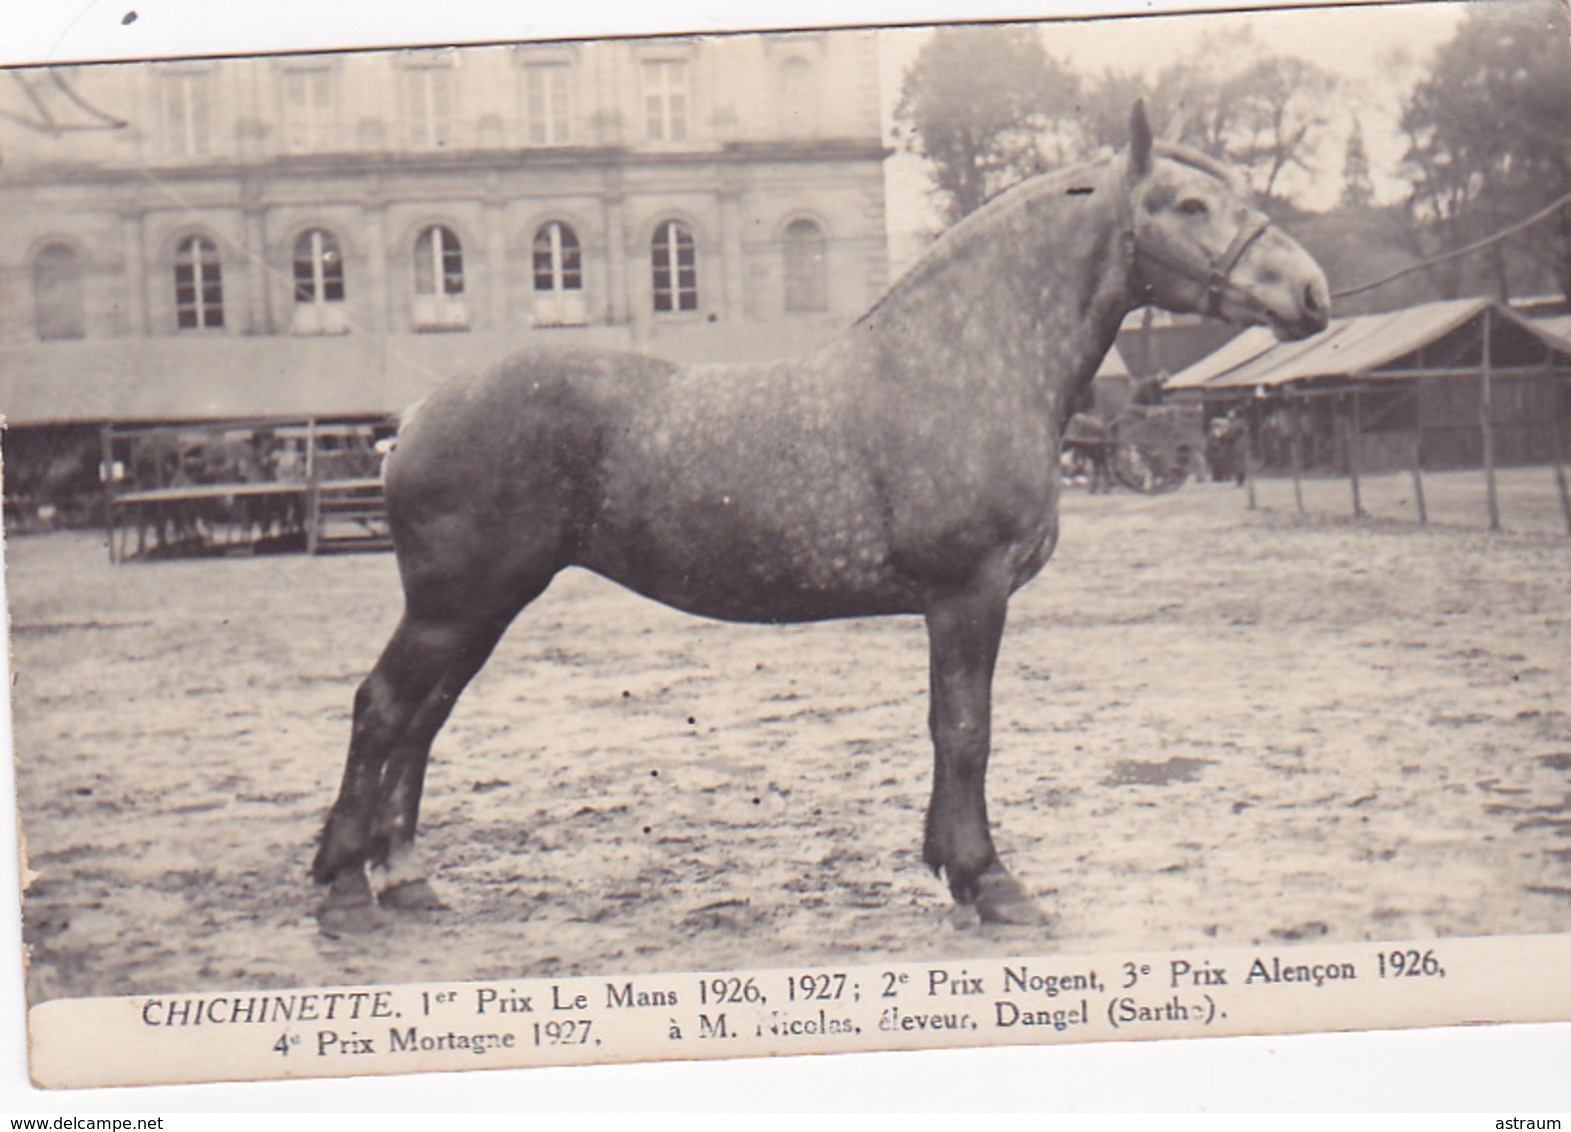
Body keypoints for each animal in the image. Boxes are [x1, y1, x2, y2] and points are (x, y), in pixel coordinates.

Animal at [312, 105, 1332, 929]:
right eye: (1187, 206)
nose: (1311, 294)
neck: (964, 361)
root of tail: (416, 415)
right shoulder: (967, 593)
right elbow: (965, 728)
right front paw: (989, 881)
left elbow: (952, 727)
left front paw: (952, 869)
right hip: (455, 604)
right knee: (384, 706)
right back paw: (345, 884)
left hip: (484, 607)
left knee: (424, 717)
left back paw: (404, 876)